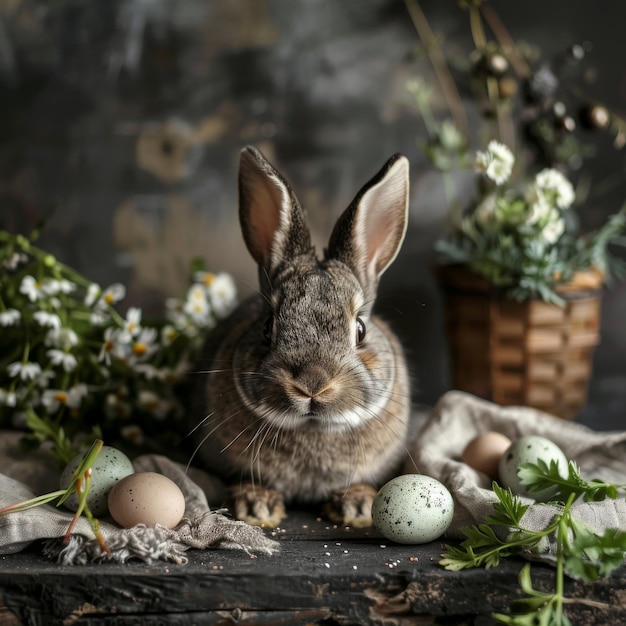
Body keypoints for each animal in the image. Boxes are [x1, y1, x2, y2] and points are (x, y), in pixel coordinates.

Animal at [193, 147, 412, 528]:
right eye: (267, 326)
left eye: (360, 330)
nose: (313, 383)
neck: (314, 429)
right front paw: (257, 506)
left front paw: (357, 506)